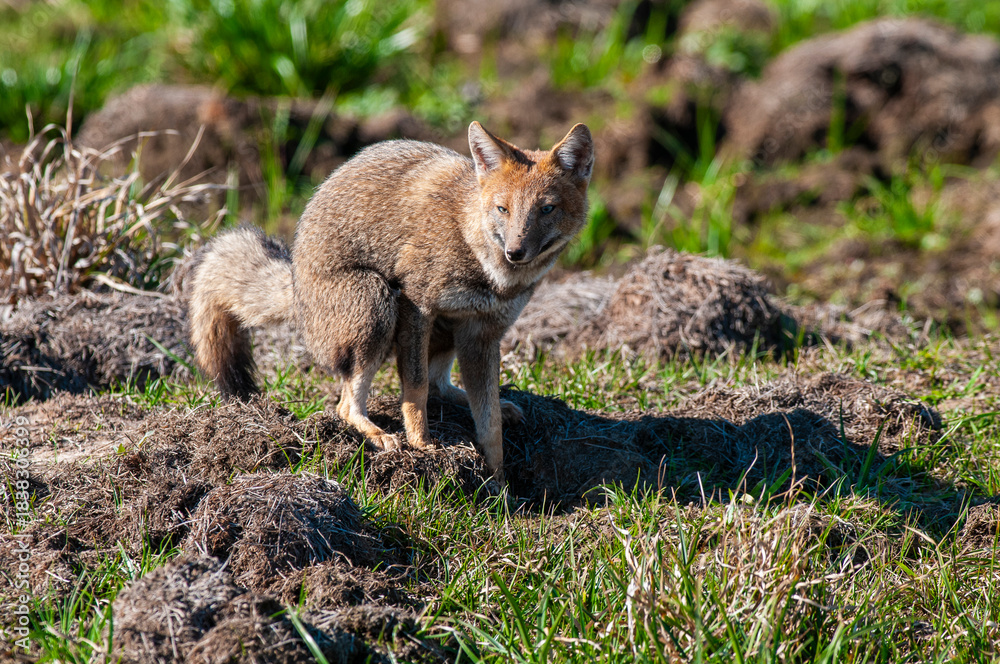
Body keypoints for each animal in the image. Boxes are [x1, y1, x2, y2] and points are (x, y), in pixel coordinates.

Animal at [187, 122, 594, 482]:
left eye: (546, 209)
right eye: (503, 209)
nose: (515, 252)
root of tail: (295, 286)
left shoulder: (483, 333)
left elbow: (488, 419)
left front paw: (498, 482)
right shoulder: (416, 306)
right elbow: (415, 388)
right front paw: (423, 445)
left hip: (447, 333)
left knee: (443, 385)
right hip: (378, 303)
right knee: (345, 405)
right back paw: (379, 435)